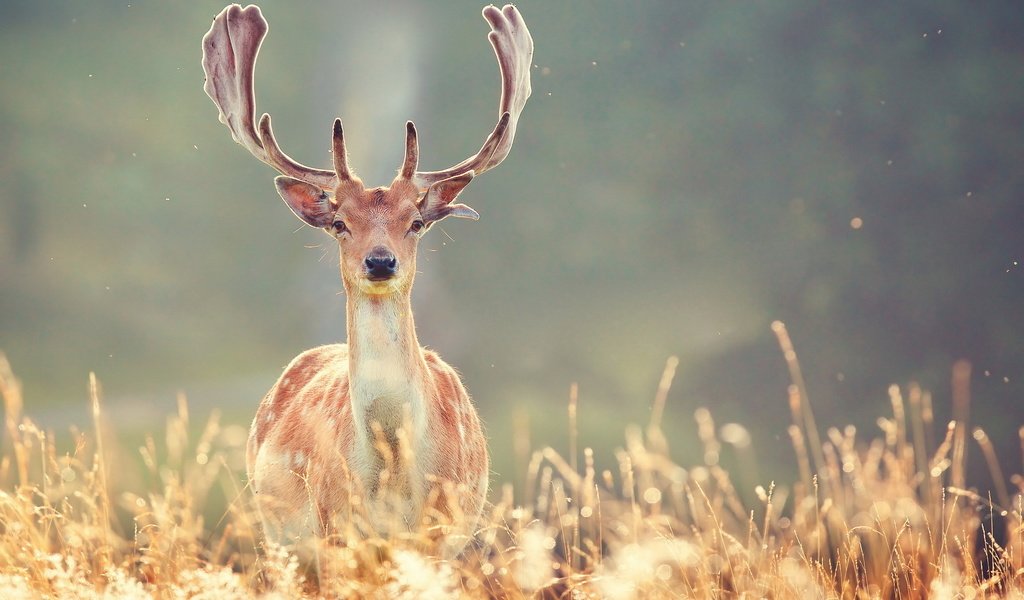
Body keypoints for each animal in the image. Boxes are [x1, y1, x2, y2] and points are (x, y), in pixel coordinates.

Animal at [201, 3, 536, 556]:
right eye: (340, 223)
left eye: (416, 222)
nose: (380, 262)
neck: (393, 470)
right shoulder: (335, 527)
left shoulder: (444, 532)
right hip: (277, 535)